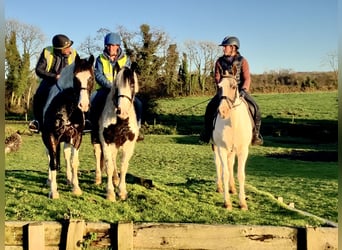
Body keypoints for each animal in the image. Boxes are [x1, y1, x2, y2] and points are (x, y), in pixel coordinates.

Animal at [42, 55, 95, 199]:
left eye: (91, 78)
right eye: (75, 78)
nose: (84, 105)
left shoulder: (76, 137)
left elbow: (73, 162)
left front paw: (76, 187)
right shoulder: (51, 136)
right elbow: (53, 162)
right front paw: (53, 191)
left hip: (66, 139)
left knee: (66, 157)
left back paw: (69, 179)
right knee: (50, 157)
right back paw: (50, 180)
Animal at [93, 67, 139, 201]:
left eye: (132, 85)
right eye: (116, 86)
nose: (122, 111)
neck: (121, 121)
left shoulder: (129, 144)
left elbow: (123, 167)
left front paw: (122, 191)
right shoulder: (106, 141)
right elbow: (108, 166)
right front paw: (110, 193)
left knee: (113, 158)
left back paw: (116, 179)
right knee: (98, 154)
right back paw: (98, 178)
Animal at [212, 66, 252, 209]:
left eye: (234, 86)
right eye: (219, 87)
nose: (222, 111)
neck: (232, 122)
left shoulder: (242, 150)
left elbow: (240, 174)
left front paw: (242, 203)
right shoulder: (222, 148)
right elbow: (225, 173)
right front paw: (227, 202)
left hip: (233, 150)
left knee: (230, 164)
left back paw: (232, 188)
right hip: (216, 147)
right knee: (219, 164)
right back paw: (220, 187)